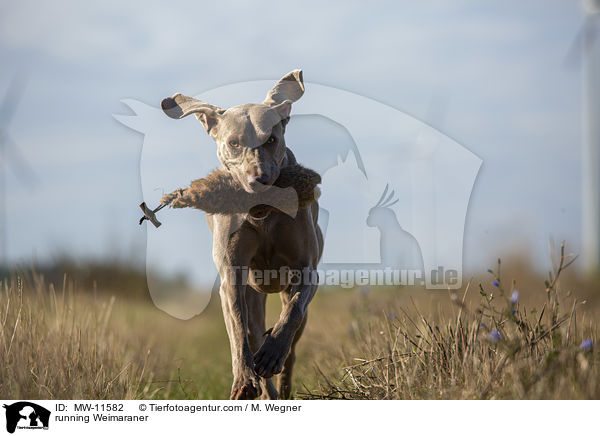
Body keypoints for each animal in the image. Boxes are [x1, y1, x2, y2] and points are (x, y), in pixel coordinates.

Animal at [162, 70, 324, 398]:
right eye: (234, 143)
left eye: (271, 139)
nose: (259, 179)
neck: (263, 219)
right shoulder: (232, 276)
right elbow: (238, 329)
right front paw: (245, 379)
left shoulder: (306, 271)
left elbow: (292, 311)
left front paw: (272, 354)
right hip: (253, 292)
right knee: (252, 332)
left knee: (291, 341)